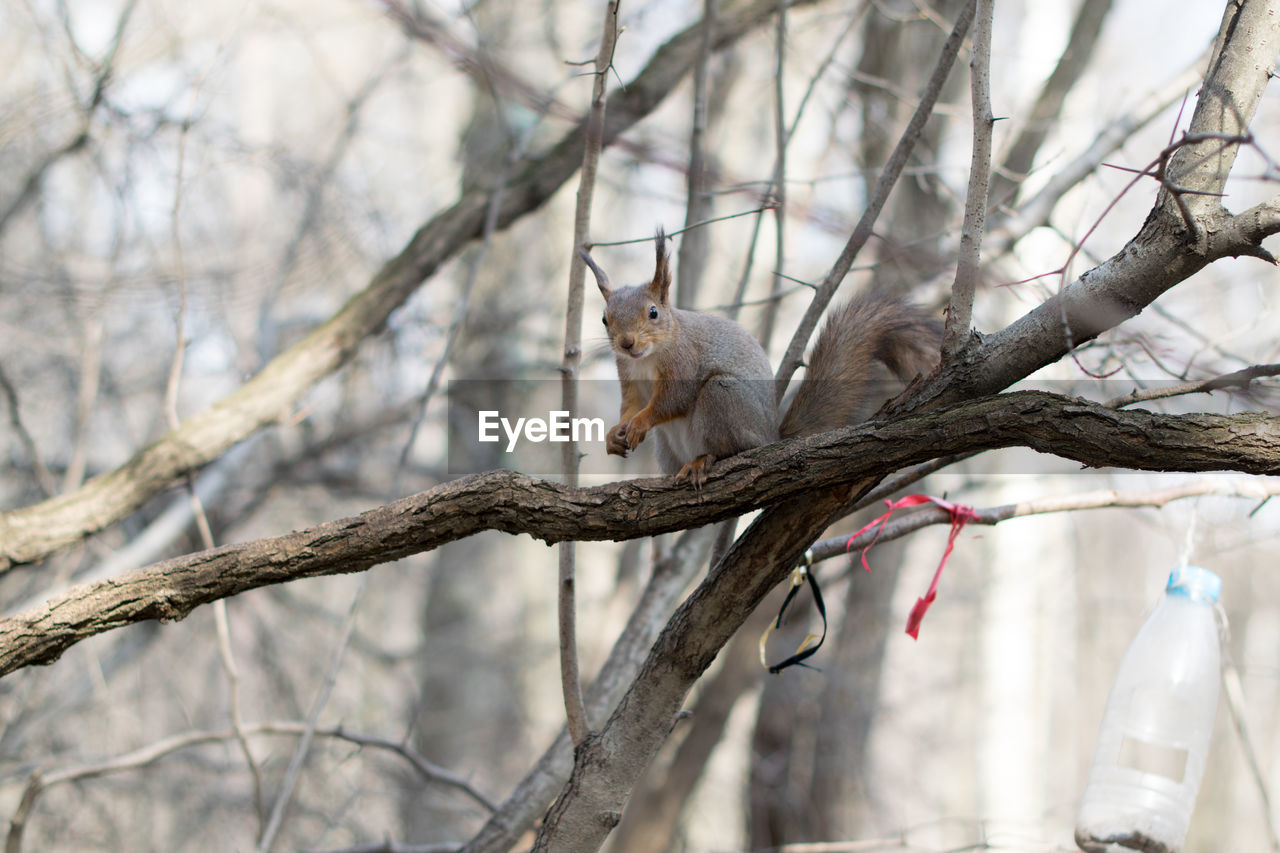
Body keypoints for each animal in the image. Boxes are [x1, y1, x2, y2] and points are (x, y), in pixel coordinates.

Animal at [583, 229, 942, 484]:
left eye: (653, 312)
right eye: (604, 319)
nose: (626, 343)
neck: (647, 358)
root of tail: (771, 435)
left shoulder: (684, 361)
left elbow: (671, 400)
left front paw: (640, 422)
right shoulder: (628, 374)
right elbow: (631, 404)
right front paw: (615, 433)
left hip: (723, 398)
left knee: (731, 448)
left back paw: (704, 461)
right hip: (667, 445)